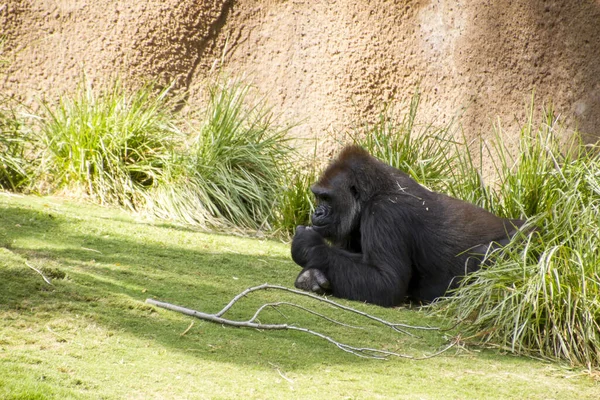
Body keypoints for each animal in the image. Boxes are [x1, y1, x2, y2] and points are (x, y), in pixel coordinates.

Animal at [292, 145, 524, 308]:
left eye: (326, 198)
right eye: (318, 196)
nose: (317, 212)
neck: (372, 193)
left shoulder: (386, 214)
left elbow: (386, 283)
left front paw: (309, 246)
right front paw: (311, 277)